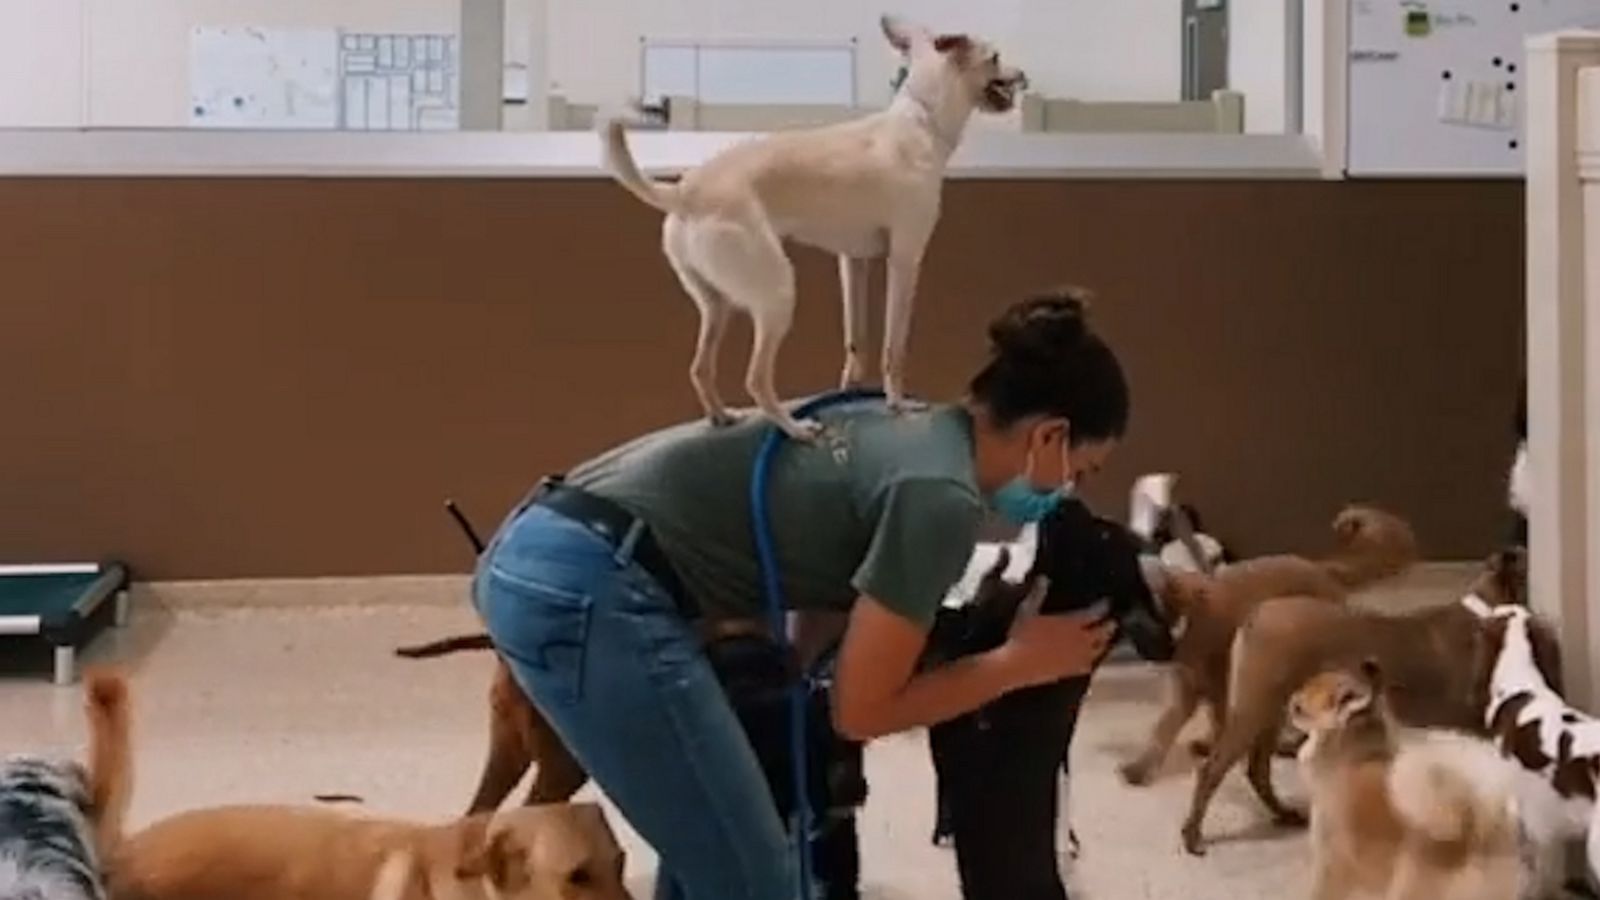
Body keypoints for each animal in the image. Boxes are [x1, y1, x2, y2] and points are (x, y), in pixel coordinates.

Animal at [604, 12, 1030, 435]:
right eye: (995, 57)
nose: (1023, 75)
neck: (921, 119)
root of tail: (685, 191)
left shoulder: (853, 263)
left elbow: (856, 341)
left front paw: (851, 391)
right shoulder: (905, 260)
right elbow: (894, 347)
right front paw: (896, 404)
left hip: (716, 305)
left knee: (700, 368)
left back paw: (722, 415)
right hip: (777, 294)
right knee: (756, 379)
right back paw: (794, 428)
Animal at [1120, 506, 1420, 784]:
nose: (1150, 650)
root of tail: (1319, 567)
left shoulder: (1216, 683)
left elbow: (1211, 719)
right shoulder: (1188, 686)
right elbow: (1165, 727)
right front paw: (1143, 767)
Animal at [1184, 544, 1555, 851]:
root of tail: (1255, 615)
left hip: (1271, 713)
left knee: (1257, 769)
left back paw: (1283, 813)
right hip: (1253, 711)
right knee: (1212, 770)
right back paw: (1193, 835)